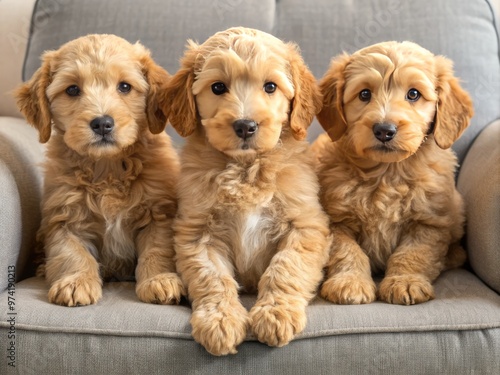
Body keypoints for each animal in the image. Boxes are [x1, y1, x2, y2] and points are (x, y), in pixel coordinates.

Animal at [15, 33, 185, 306]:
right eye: (72, 89)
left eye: (125, 87)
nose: (102, 123)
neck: (107, 168)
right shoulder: (65, 216)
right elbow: (72, 253)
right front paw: (76, 282)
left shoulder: (158, 213)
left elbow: (157, 250)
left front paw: (160, 280)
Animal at [162, 27, 330, 356]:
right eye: (217, 87)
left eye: (270, 86)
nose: (245, 125)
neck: (245, 168)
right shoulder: (197, 233)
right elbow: (212, 277)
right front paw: (220, 321)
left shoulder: (305, 225)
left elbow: (285, 268)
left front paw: (276, 314)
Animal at [314, 41, 474, 306]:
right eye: (364, 94)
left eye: (414, 94)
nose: (384, 130)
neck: (387, 174)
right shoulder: (336, 222)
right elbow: (347, 252)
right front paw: (350, 282)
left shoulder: (429, 223)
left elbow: (412, 254)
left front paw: (405, 282)